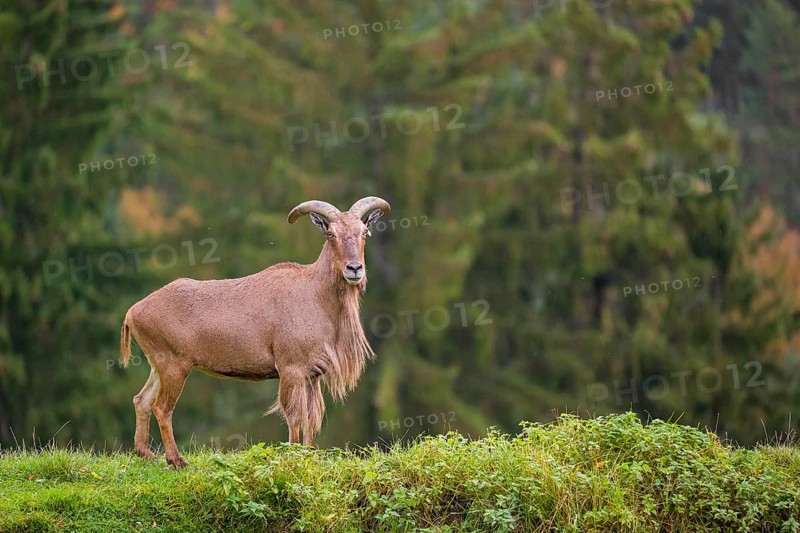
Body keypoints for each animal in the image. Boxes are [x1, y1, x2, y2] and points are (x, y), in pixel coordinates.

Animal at [119, 196, 390, 468]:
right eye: (330, 233)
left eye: (364, 232)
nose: (354, 269)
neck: (316, 295)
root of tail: (133, 311)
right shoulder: (290, 369)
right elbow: (294, 417)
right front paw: (292, 456)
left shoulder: (312, 376)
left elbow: (310, 419)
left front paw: (308, 456)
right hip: (174, 365)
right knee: (162, 408)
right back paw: (176, 460)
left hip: (158, 366)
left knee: (141, 400)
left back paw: (146, 453)